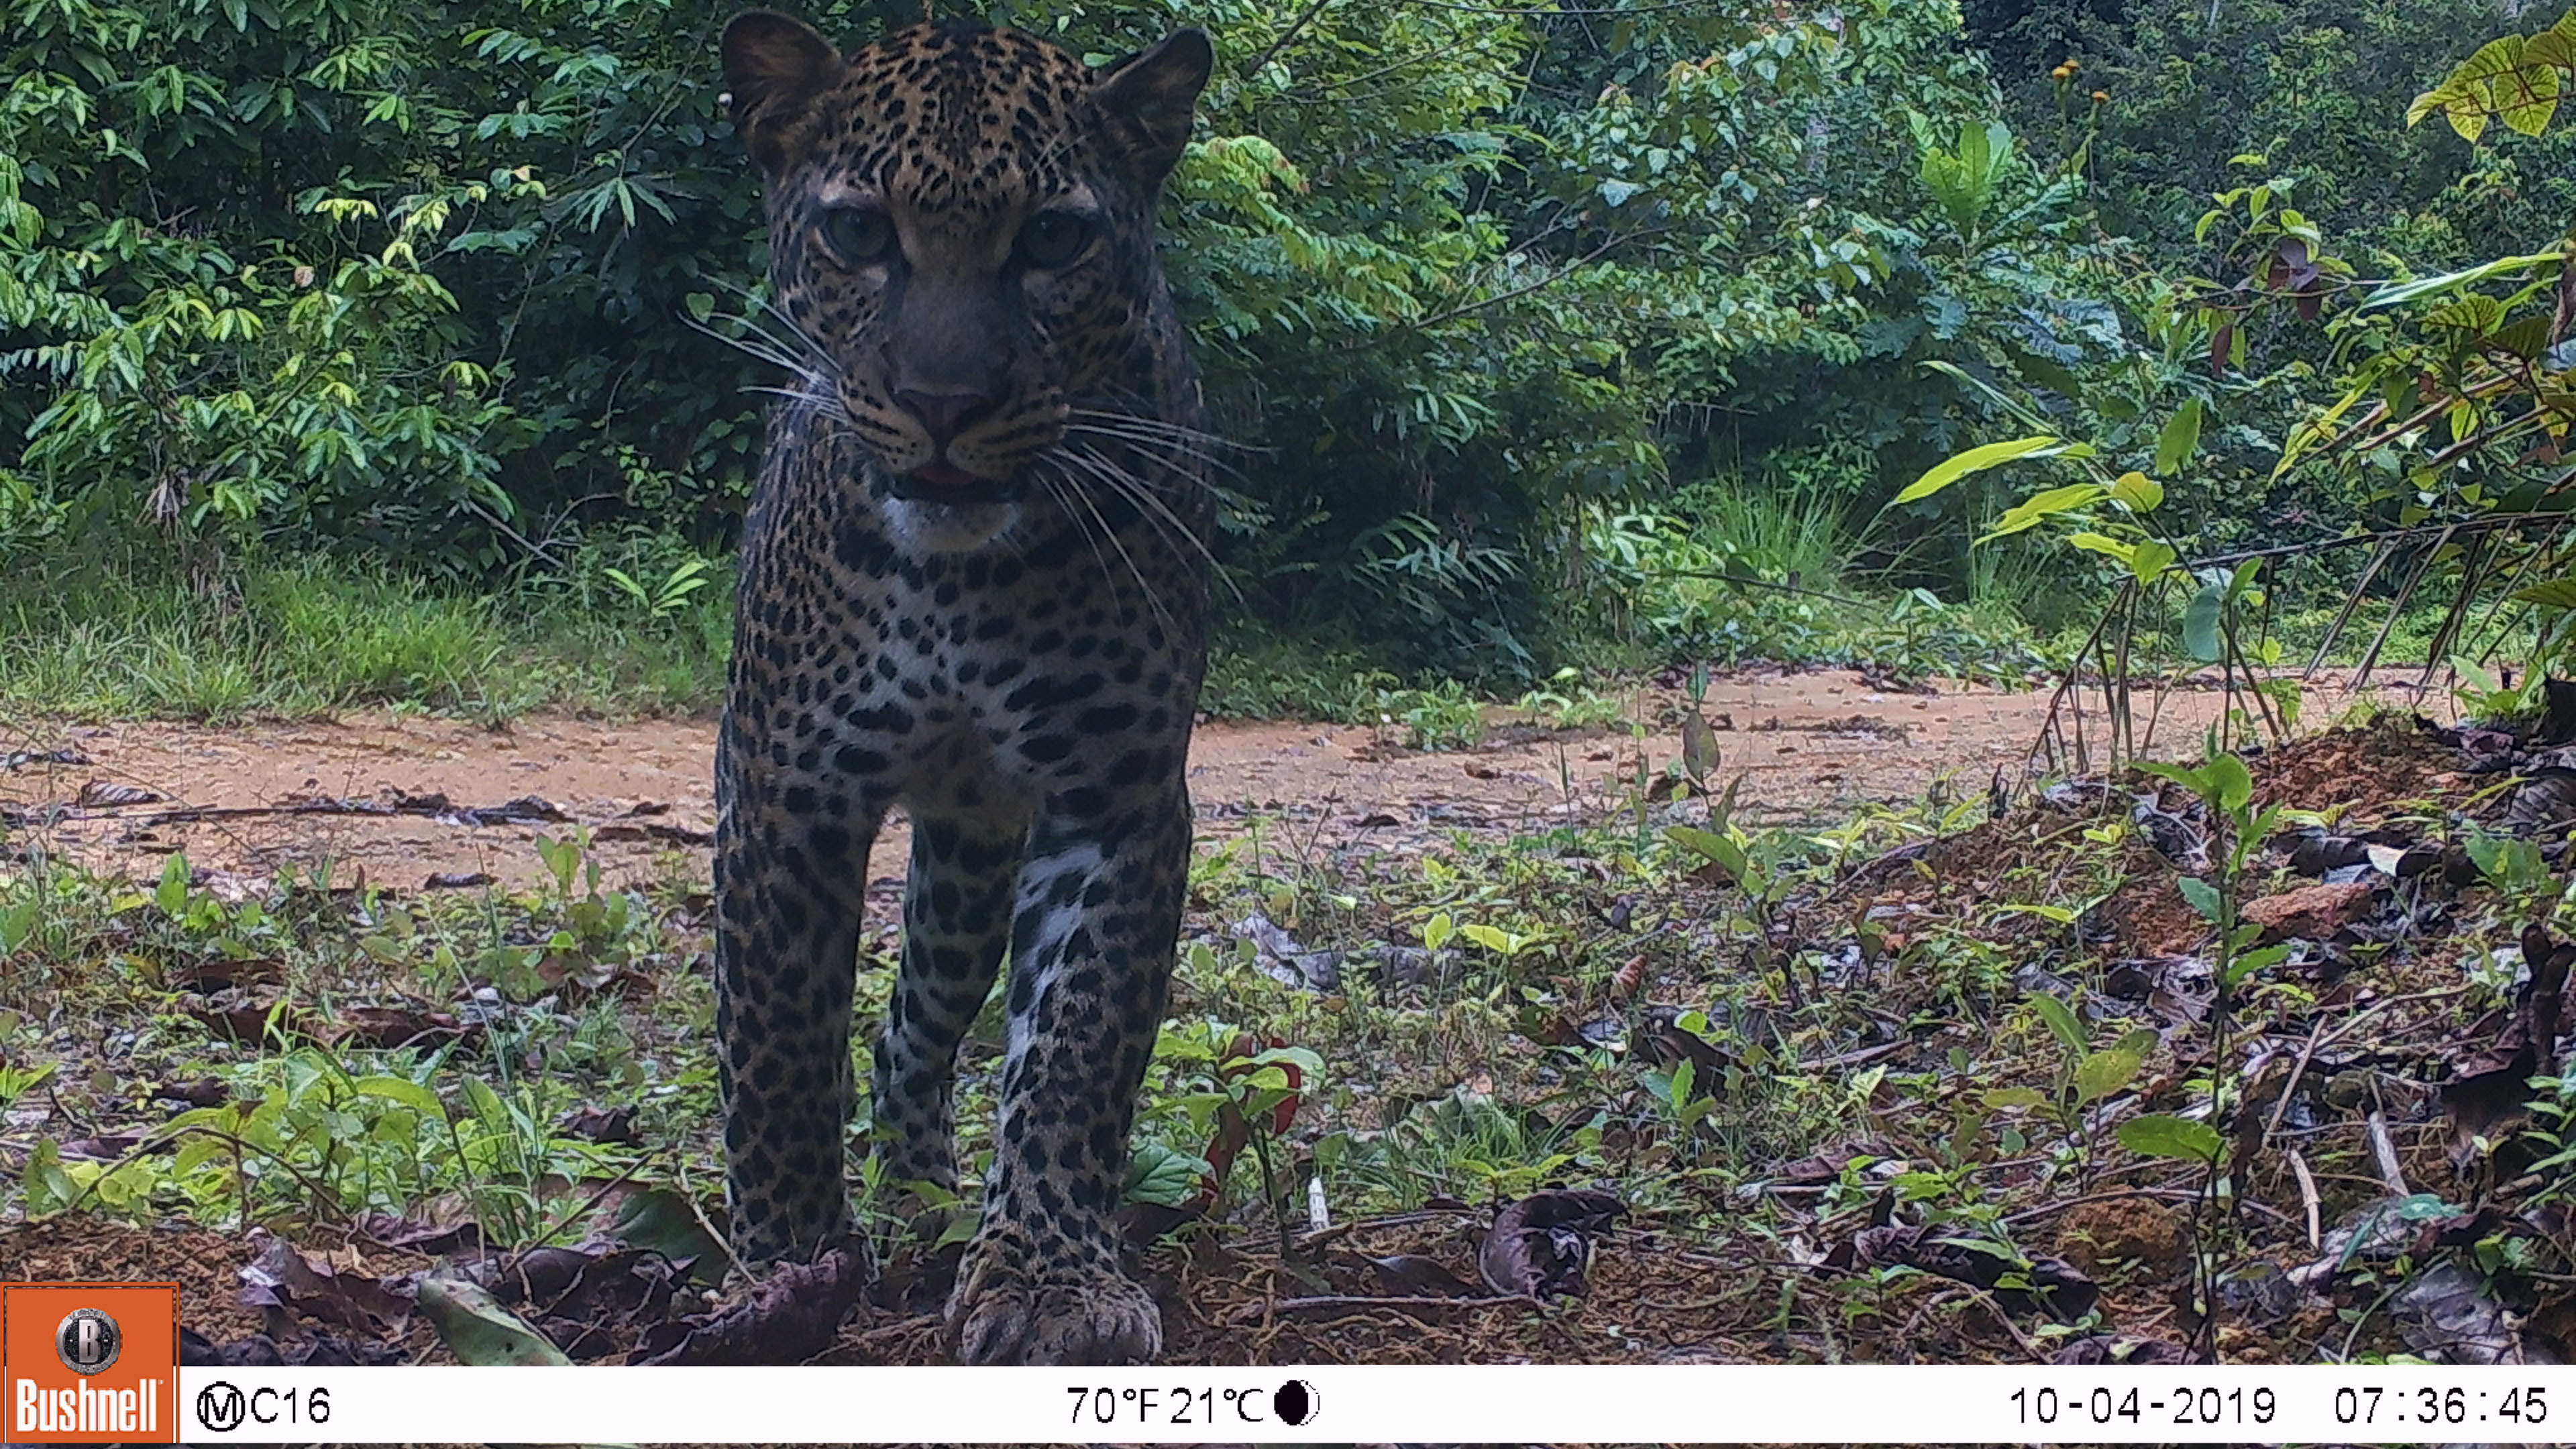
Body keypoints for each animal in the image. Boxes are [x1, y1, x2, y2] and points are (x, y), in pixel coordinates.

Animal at [710, 11, 1221, 1361]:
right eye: (856, 233)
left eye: (1051, 240)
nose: (946, 407)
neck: (955, 583)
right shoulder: (783, 788)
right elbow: (776, 1047)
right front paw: (786, 1267)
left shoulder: (1116, 798)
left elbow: (1076, 1053)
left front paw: (1050, 1282)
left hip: (970, 866)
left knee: (911, 1027)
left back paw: (921, 1191)